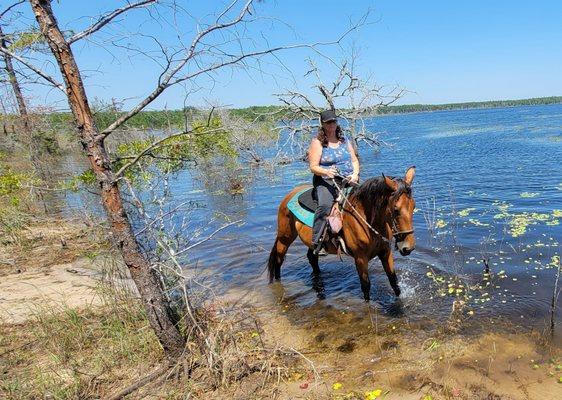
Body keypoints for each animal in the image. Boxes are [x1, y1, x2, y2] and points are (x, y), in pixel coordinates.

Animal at [266, 166, 416, 300]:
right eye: (396, 210)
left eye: (413, 206)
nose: (408, 247)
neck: (367, 221)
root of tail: (290, 195)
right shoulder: (360, 258)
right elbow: (366, 287)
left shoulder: (385, 253)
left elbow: (394, 282)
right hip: (285, 237)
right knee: (279, 260)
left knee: (312, 258)